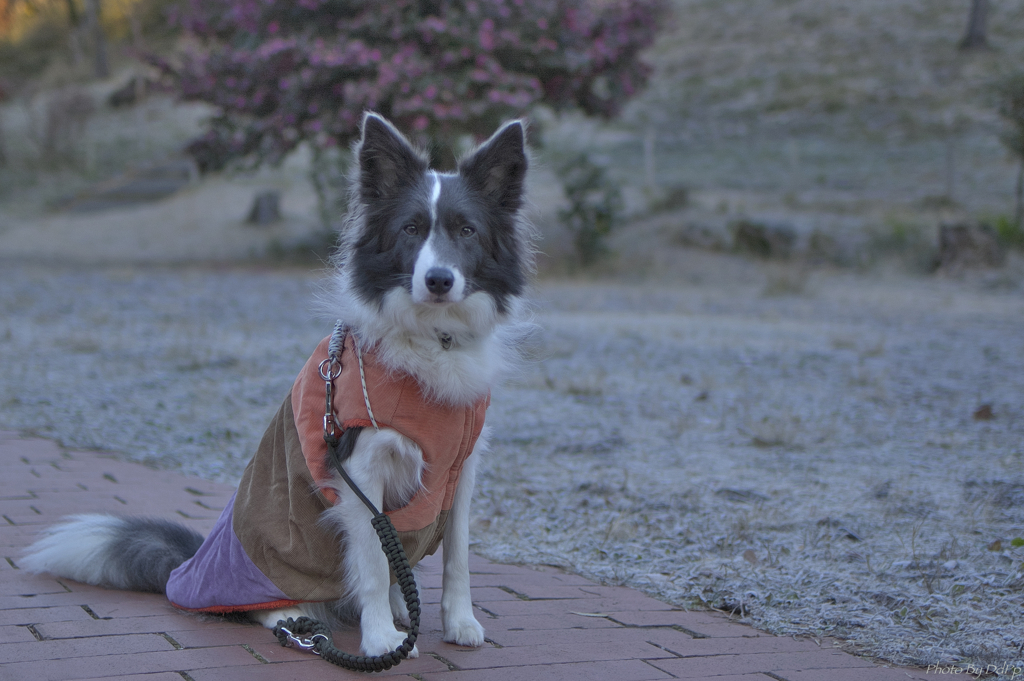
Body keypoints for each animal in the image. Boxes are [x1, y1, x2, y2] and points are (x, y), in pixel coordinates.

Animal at [19, 112, 532, 659]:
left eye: (467, 231)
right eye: (411, 229)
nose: (438, 280)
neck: (435, 339)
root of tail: (188, 567)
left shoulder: (459, 468)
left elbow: (458, 556)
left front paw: (459, 622)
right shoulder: (359, 470)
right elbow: (373, 564)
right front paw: (379, 640)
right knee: (272, 600)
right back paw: (297, 618)